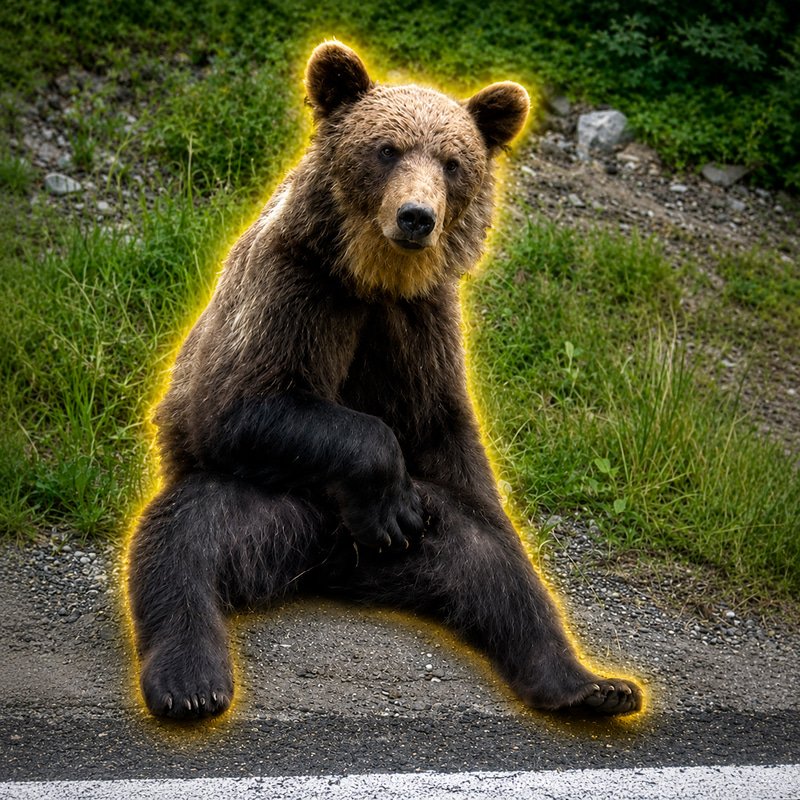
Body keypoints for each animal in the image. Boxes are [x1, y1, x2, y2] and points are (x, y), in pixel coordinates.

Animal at [127, 40, 643, 720]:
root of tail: (325, 566)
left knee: (493, 566)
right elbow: (243, 404)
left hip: (412, 538)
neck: (374, 277)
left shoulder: (422, 326)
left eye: (452, 162)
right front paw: (387, 497)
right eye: (387, 149)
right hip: (270, 506)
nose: (417, 216)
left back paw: (592, 686)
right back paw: (191, 684)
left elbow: (450, 442)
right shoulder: (293, 289)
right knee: (183, 539)